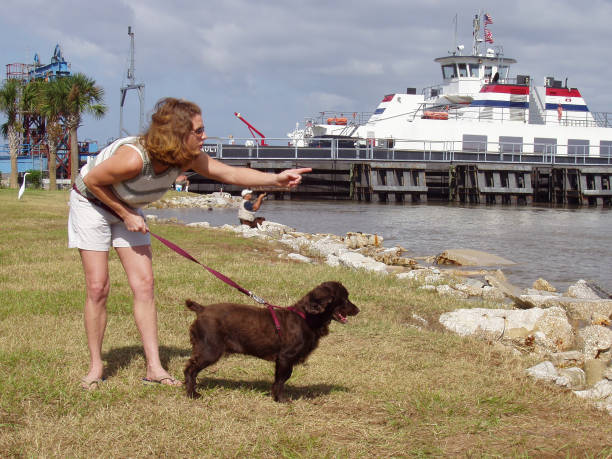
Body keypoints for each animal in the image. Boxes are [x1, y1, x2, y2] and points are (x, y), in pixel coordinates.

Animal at [184, 280, 360, 402]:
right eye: (345, 299)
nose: (358, 310)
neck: (305, 318)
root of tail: (202, 309)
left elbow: (279, 379)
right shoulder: (285, 357)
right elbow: (282, 379)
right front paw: (281, 399)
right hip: (210, 350)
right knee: (190, 369)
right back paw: (192, 394)